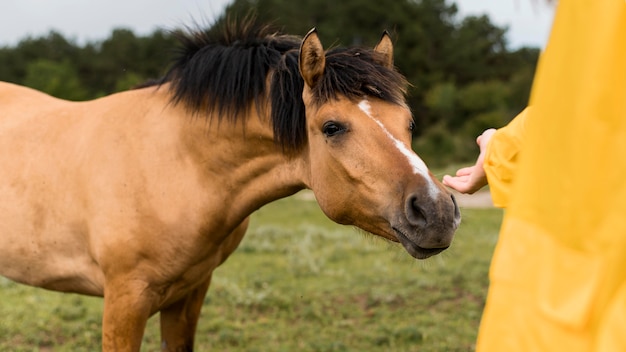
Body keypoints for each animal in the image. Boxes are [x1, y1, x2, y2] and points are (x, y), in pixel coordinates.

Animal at [0, 20, 458, 350]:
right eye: (332, 127)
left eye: (409, 123)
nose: (436, 212)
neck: (177, 162)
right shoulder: (125, 300)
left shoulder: (188, 293)